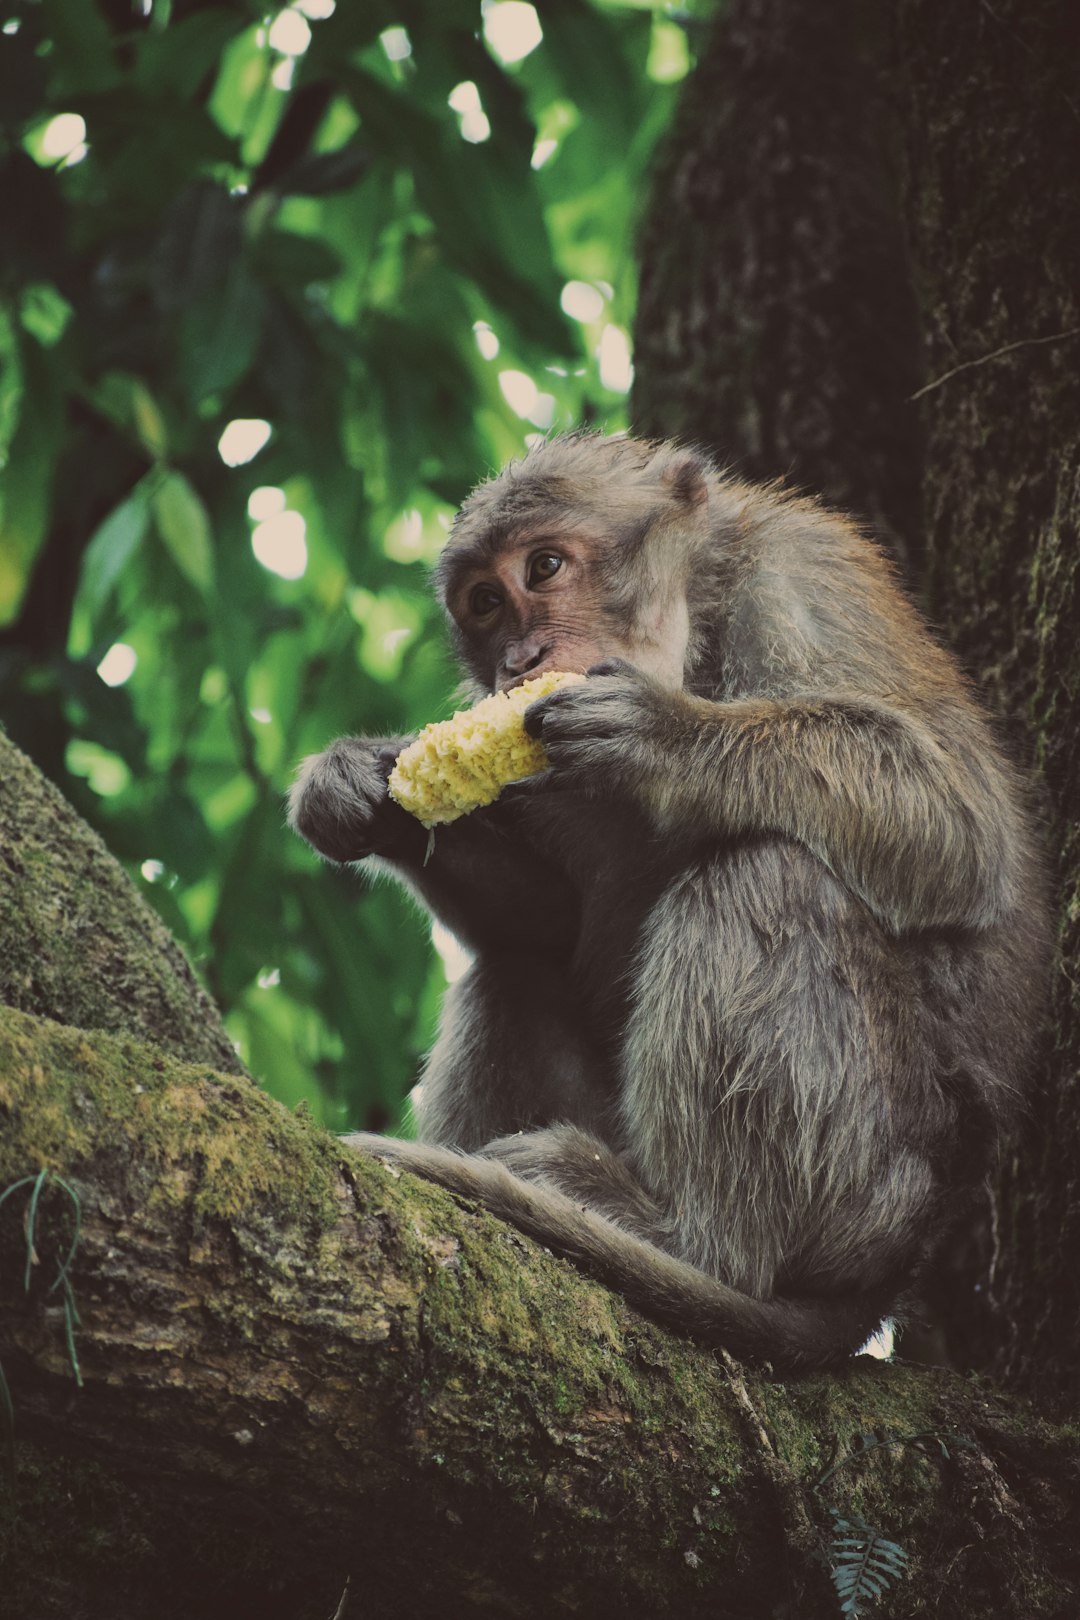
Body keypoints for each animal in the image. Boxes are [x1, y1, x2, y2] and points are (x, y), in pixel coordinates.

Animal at [286, 430, 1049, 1367]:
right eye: (484, 604)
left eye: (543, 567)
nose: (519, 663)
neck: (695, 635)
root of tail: (895, 1270)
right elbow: (546, 921)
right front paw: (358, 789)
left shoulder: (800, 579)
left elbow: (958, 825)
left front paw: (664, 733)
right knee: (519, 966)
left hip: (876, 1188)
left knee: (767, 870)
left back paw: (692, 1244)